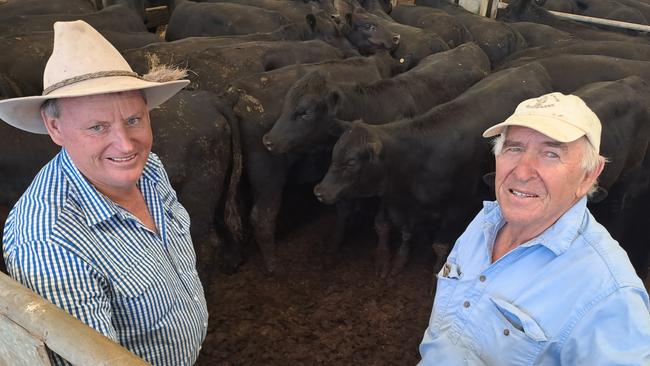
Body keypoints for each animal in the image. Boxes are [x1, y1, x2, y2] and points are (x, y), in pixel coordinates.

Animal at [260, 43, 488, 260]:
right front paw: (335, 244)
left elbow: (382, 223)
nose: (268, 140)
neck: (372, 108)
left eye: (306, 113)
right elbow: (343, 210)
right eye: (286, 104)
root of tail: (470, 45)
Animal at [312, 64, 552, 278]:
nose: (320, 191)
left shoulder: (457, 206)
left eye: (351, 163)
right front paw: (399, 261)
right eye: (335, 153)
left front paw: (437, 272)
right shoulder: (407, 206)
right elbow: (406, 233)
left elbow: (440, 245)